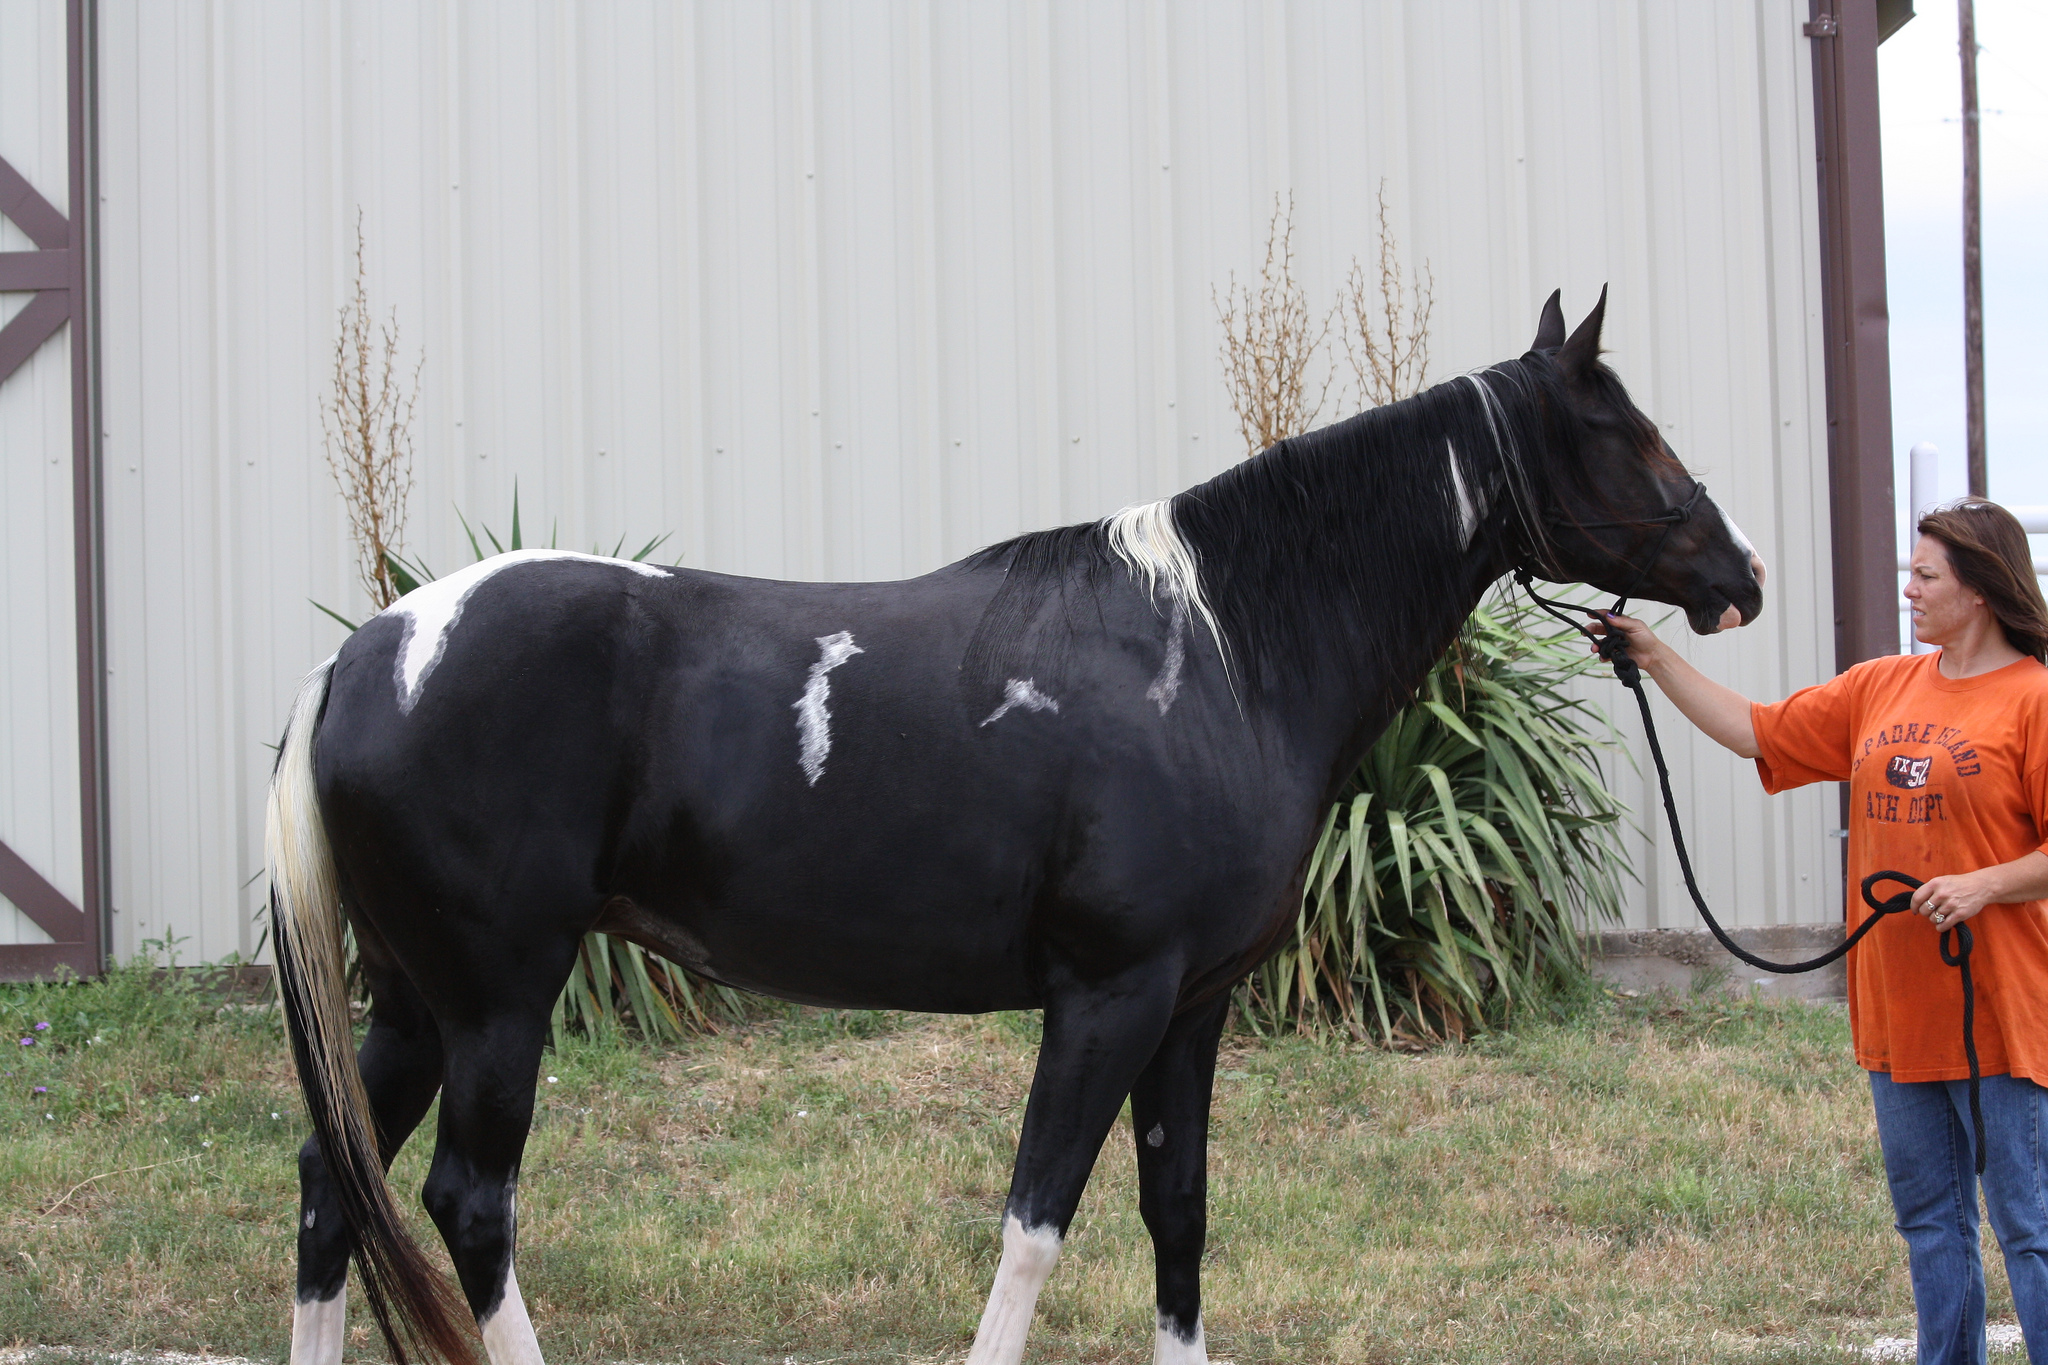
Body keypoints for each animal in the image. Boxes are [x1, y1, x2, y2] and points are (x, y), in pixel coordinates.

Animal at [268, 288, 1765, 1365]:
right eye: (1623, 432)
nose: (1739, 573)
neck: (1218, 647)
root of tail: (369, 653)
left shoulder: (1191, 1007)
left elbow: (1179, 1215)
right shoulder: (1108, 995)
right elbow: (1037, 1225)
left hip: (412, 1003)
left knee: (332, 1184)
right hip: (498, 1005)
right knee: (469, 1206)